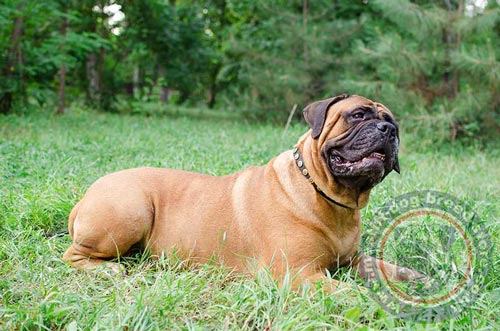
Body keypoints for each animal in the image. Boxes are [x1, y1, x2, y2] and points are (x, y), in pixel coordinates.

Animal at [61, 94, 422, 290]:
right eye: (357, 115)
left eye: (393, 122)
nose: (388, 130)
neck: (327, 195)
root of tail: (86, 197)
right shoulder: (299, 274)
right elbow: (351, 293)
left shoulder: (350, 261)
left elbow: (386, 267)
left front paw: (417, 279)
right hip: (129, 210)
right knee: (72, 255)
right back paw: (107, 269)